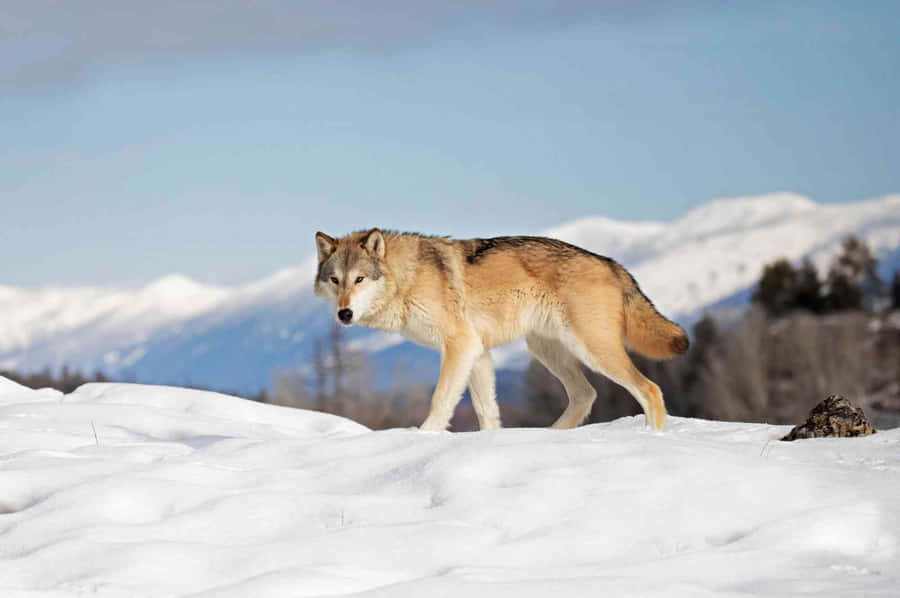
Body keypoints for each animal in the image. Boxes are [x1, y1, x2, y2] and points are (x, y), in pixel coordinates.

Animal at [314, 229, 688, 432]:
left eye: (360, 279)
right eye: (335, 280)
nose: (344, 313)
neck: (407, 277)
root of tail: (611, 263)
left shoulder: (461, 346)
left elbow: (440, 400)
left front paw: (423, 436)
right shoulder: (477, 353)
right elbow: (487, 411)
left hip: (593, 350)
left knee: (650, 389)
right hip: (547, 350)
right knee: (586, 395)